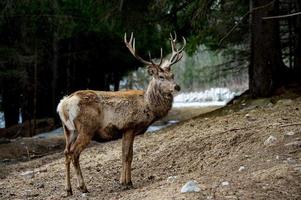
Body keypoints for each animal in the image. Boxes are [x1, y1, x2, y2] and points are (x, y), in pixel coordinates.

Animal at [55, 32, 184, 195]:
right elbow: (126, 155)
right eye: (161, 77)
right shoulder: (129, 126)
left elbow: (129, 155)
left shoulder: (128, 131)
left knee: (66, 152)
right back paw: (83, 187)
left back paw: (68, 189)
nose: (177, 86)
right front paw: (126, 183)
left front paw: (126, 181)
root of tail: (63, 105)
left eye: (172, 75)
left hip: (68, 130)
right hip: (86, 128)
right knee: (74, 153)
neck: (147, 105)